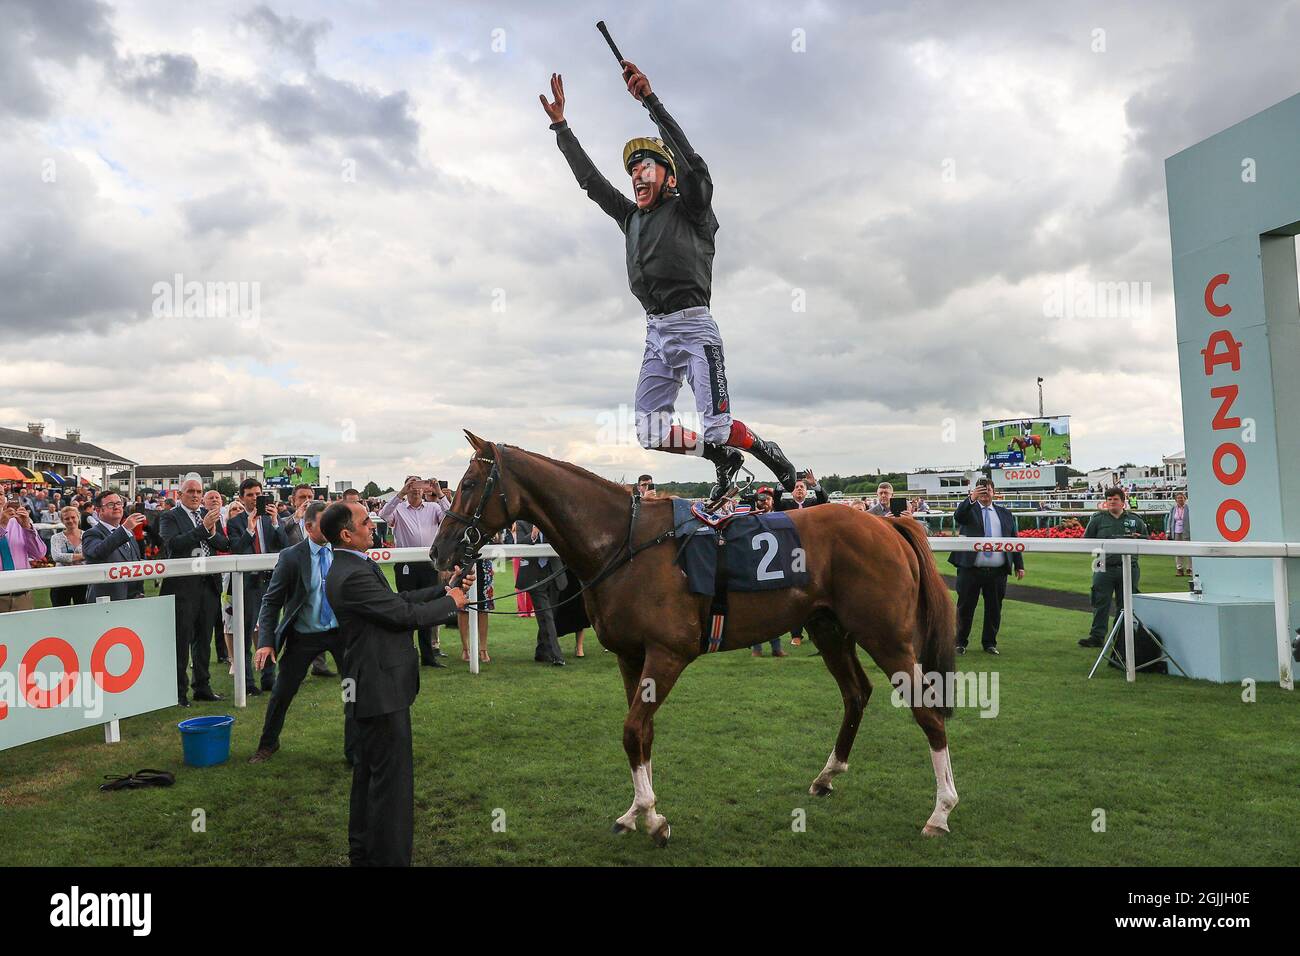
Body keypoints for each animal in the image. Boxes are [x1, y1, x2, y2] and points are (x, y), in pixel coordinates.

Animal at [431, 434, 961, 842]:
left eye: (469, 484)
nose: (440, 551)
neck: (624, 543)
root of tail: (888, 522)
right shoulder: (631, 657)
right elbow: (640, 734)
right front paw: (637, 811)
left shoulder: (667, 655)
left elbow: (632, 730)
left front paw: (654, 819)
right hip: (830, 629)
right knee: (856, 693)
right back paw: (827, 776)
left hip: (887, 638)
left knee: (927, 711)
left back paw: (940, 812)